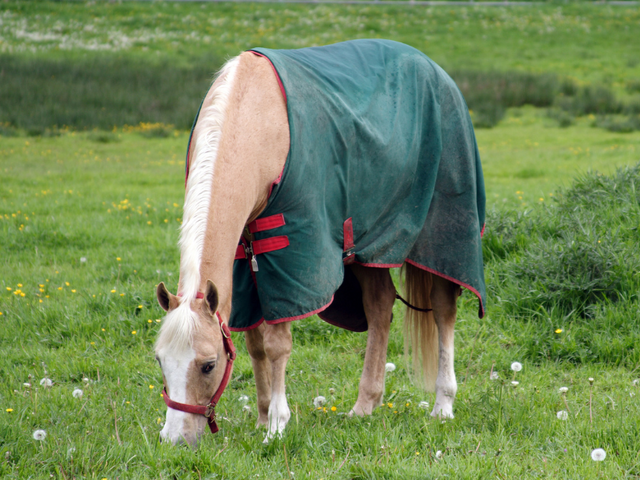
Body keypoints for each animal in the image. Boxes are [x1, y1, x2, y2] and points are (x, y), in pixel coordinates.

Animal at [155, 40, 484, 446]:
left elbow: (277, 344)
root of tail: (436, 70)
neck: (256, 121)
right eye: (160, 361)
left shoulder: (291, 252)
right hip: (368, 249)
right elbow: (254, 342)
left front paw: (277, 425)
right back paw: (365, 405)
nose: (174, 438)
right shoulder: (245, 258)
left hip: (439, 236)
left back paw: (443, 404)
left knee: (442, 308)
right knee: (380, 306)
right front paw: (262, 417)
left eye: (207, 365)